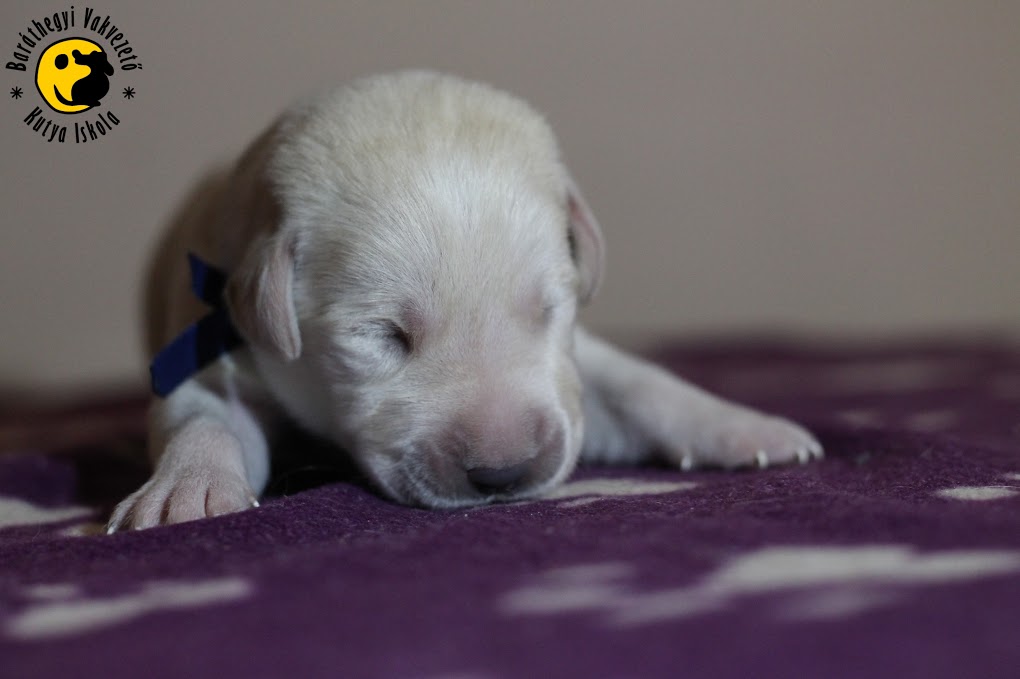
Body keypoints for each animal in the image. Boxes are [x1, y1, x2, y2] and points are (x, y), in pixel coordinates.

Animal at [108, 71, 821, 531]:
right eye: (384, 334)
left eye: (547, 311)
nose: (504, 475)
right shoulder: (218, 339)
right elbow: (203, 417)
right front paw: (186, 491)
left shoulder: (572, 368)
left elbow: (637, 385)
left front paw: (744, 427)